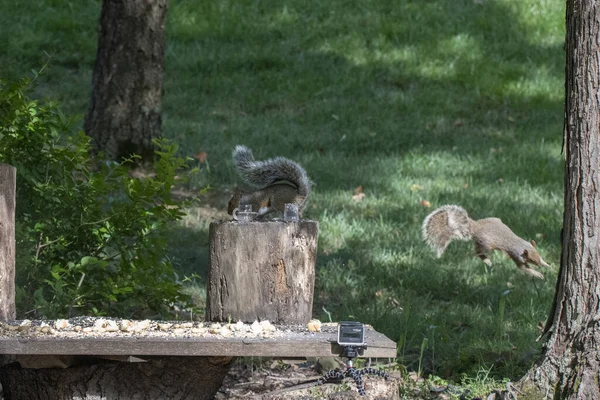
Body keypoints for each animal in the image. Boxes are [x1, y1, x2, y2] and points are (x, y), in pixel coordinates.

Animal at [420, 205, 552, 280]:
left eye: (538, 255)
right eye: (531, 260)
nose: (539, 264)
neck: (522, 247)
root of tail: (475, 226)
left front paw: (547, 265)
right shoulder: (516, 257)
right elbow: (524, 269)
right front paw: (538, 274)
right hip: (486, 245)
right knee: (478, 252)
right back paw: (487, 261)